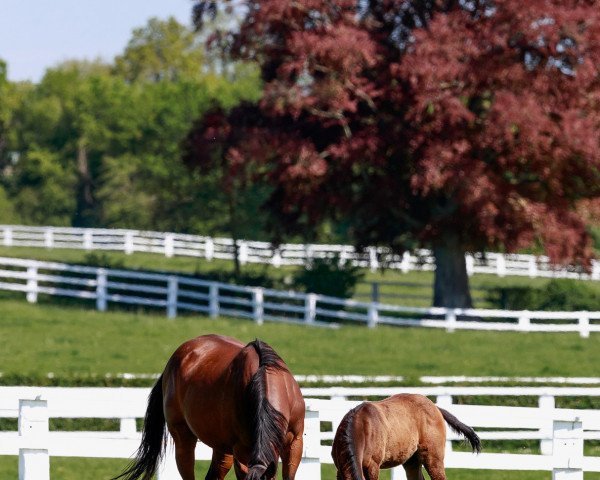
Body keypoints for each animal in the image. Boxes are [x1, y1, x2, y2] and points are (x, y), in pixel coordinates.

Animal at [330, 394, 480, 480]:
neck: (362, 427)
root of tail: (435, 407)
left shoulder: (373, 467)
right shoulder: (340, 469)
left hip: (433, 459)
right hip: (412, 461)